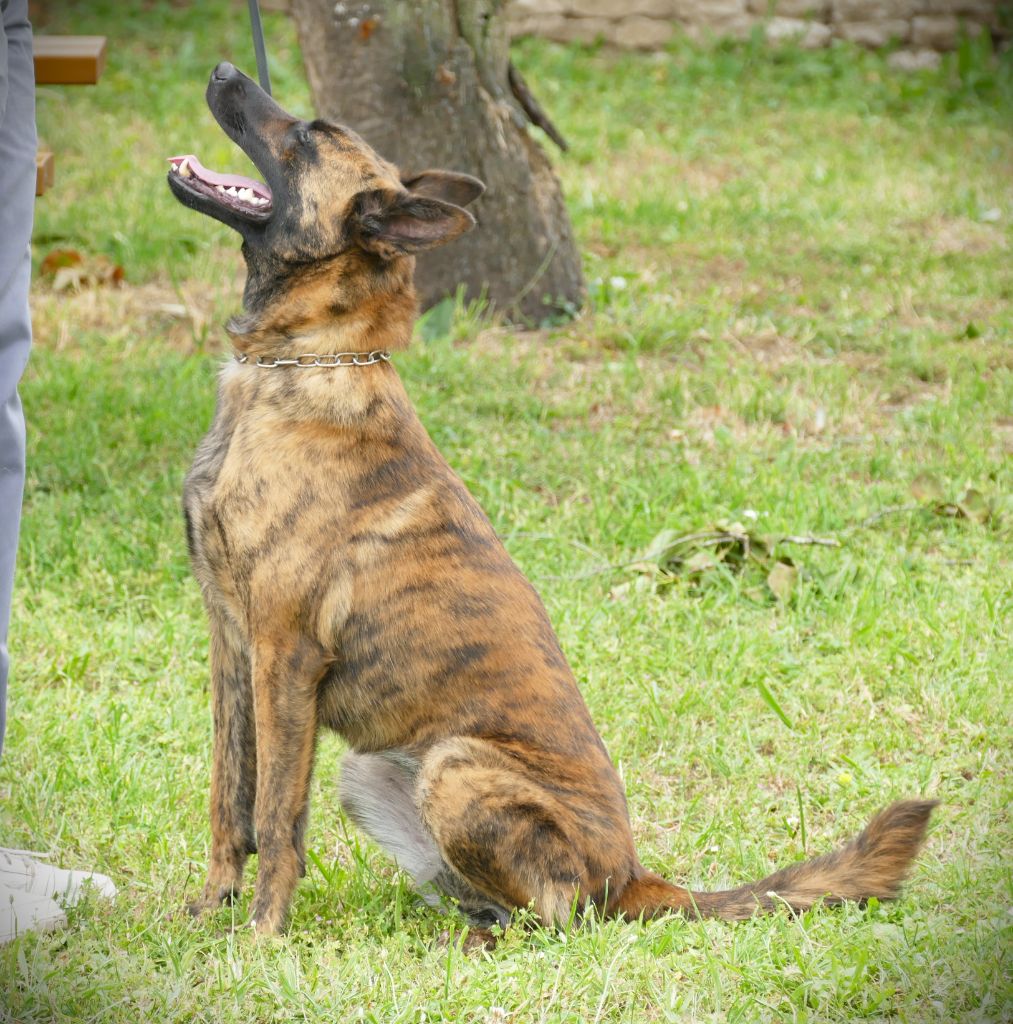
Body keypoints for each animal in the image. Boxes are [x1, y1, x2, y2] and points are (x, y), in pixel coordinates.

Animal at [170, 64, 938, 937]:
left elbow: (275, 815)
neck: (302, 364)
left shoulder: (285, 655)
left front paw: (264, 930)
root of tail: (634, 874)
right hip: (372, 774)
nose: (225, 71)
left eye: (305, 135)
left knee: (562, 915)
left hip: (457, 764)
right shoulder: (233, 646)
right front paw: (212, 907)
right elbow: (229, 797)